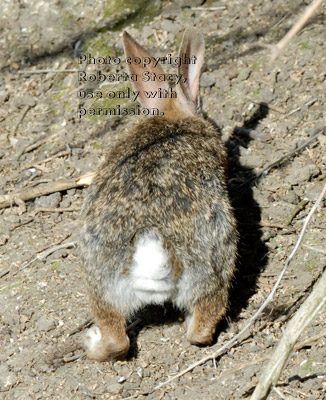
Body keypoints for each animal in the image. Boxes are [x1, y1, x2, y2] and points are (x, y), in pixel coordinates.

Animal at [79, 26, 237, 360]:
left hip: (100, 282)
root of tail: (150, 238)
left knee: (118, 339)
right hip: (215, 262)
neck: (171, 117)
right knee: (202, 327)